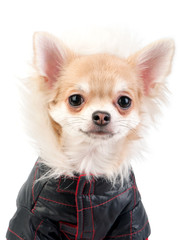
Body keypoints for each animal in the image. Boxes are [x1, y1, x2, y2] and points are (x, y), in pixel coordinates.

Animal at [7, 32, 174, 240]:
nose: (101, 115)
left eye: (124, 101)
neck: (90, 161)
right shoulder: (34, 218)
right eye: (75, 99)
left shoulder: (130, 218)